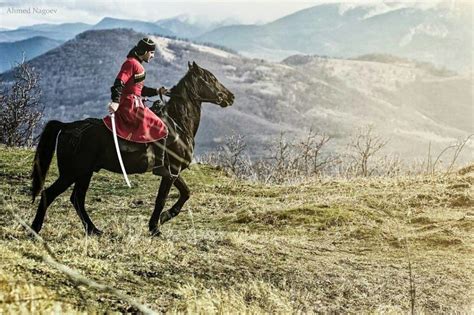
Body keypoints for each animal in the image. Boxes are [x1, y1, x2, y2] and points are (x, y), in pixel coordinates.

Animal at [29, 61, 233, 237]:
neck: (178, 124)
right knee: (51, 194)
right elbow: (162, 199)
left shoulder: (173, 172)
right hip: (72, 172)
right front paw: (156, 226)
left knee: (77, 199)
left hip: (85, 173)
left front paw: (163, 219)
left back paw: (94, 230)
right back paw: (35, 229)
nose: (231, 97)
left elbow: (185, 193)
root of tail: (67, 126)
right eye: (211, 78)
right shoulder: (171, 171)